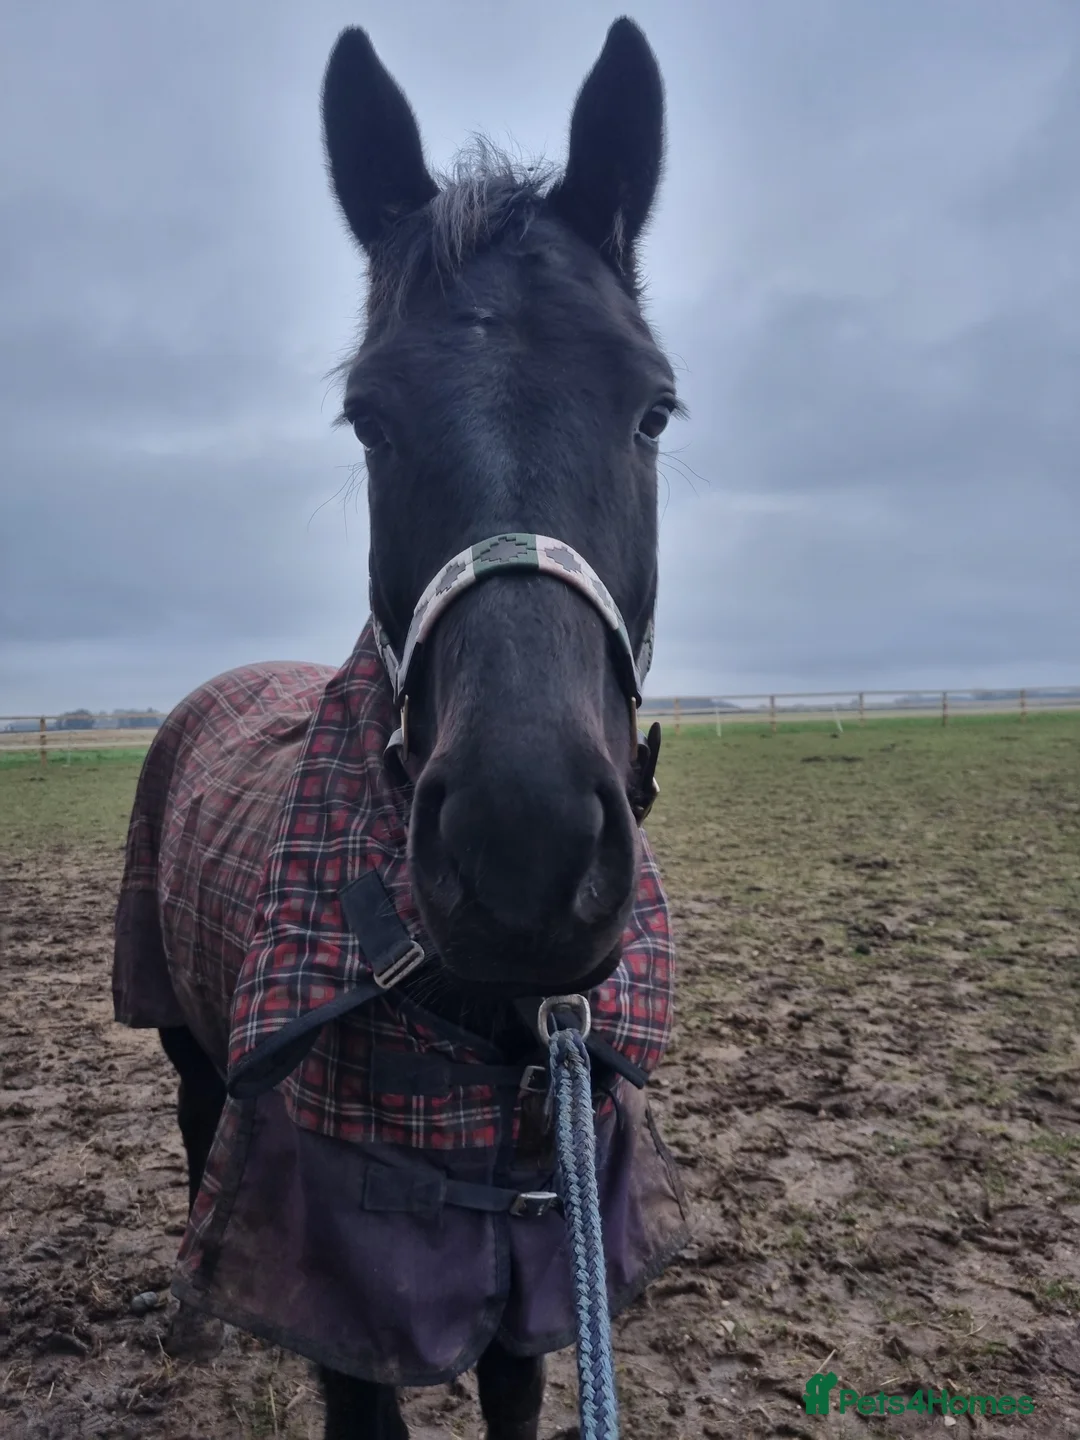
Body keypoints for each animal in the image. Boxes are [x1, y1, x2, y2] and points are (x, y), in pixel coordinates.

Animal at [112, 18, 689, 1439]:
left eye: (653, 406)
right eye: (368, 414)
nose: (524, 853)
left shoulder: (543, 1255)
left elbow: (514, 1395)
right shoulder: (348, 1296)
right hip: (178, 1023)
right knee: (199, 1127)